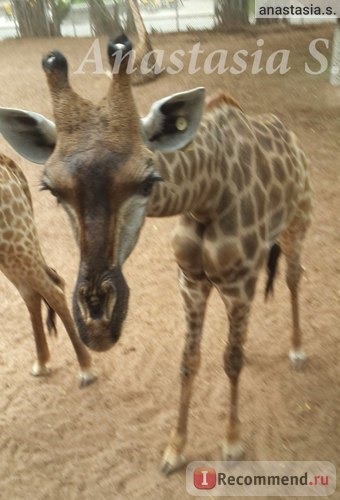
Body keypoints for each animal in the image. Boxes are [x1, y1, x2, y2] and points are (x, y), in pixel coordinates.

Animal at [0, 154, 95, 388]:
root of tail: (9, 163)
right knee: (31, 293)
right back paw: (42, 363)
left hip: (13, 239)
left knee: (52, 291)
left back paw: (85, 368)